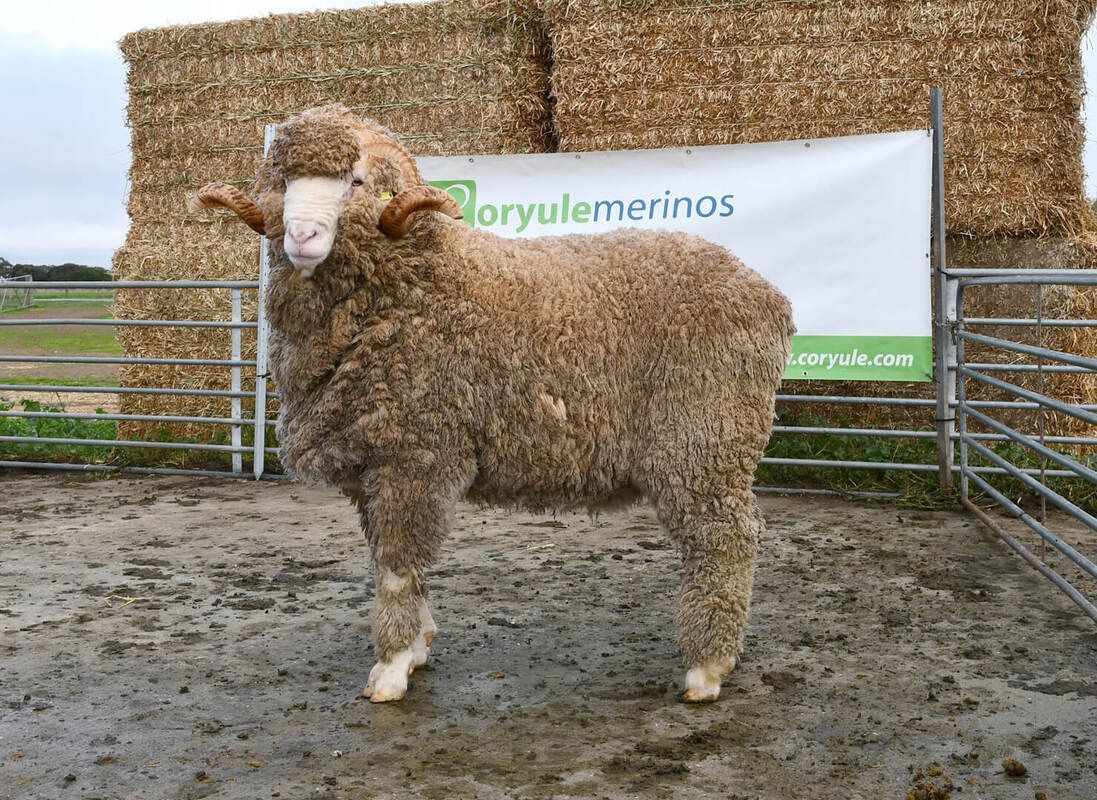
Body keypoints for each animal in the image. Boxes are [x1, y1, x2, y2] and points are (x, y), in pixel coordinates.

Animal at [197, 104, 795, 704]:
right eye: (283, 182)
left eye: (357, 182)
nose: (301, 235)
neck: (410, 280)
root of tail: (769, 295)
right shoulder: (374, 465)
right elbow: (392, 563)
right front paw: (419, 645)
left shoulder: (415, 454)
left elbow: (396, 567)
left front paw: (391, 665)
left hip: (702, 440)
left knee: (724, 542)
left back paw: (707, 668)